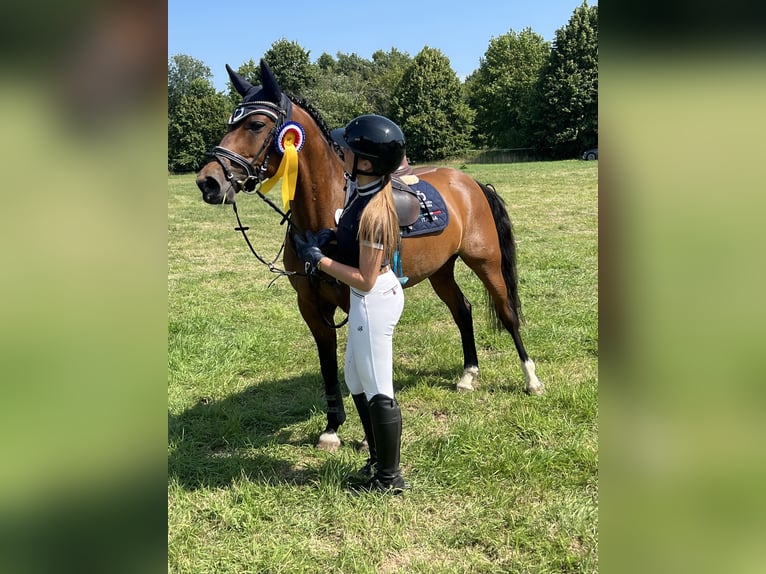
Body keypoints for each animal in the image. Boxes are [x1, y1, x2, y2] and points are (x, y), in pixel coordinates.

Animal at [198, 59, 544, 454]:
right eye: (230, 123)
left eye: (255, 125)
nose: (208, 181)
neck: (329, 213)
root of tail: (471, 184)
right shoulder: (311, 305)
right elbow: (329, 367)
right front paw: (333, 427)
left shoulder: (356, 301)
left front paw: (368, 437)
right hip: (441, 270)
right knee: (463, 310)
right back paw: (468, 375)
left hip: (486, 263)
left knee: (507, 313)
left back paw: (531, 379)